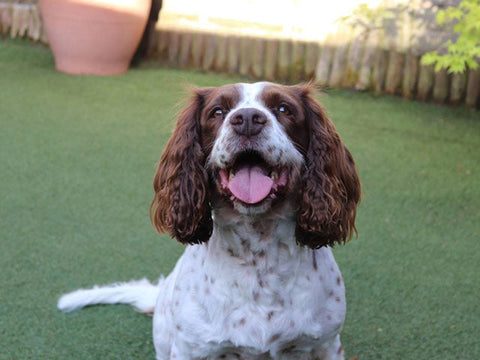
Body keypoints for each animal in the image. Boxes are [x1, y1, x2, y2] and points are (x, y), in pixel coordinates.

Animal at [58, 82, 360, 360]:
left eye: (284, 109)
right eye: (217, 112)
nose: (247, 119)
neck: (259, 257)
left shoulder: (326, 346)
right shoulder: (191, 349)